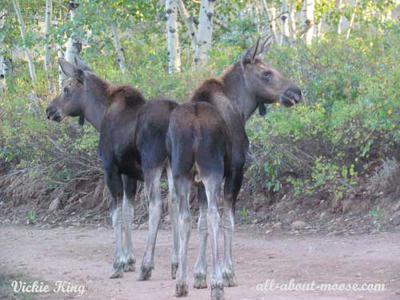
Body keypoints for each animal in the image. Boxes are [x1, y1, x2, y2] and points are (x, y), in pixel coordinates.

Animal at [45, 58, 180, 278]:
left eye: (66, 88)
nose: (49, 110)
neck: (98, 117)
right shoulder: (129, 173)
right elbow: (128, 212)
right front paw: (129, 260)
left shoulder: (110, 169)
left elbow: (115, 215)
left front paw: (118, 263)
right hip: (173, 166)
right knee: (175, 202)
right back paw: (176, 264)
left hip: (152, 164)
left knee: (156, 205)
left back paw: (147, 266)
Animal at [167, 38, 302, 300]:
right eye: (266, 73)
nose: (296, 92)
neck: (242, 108)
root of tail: (193, 125)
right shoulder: (235, 171)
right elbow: (227, 220)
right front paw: (227, 273)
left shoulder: (198, 181)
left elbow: (200, 224)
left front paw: (199, 276)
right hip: (212, 172)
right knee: (214, 215)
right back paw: (218, 283)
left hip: (181, 173)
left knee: (184, 217)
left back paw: (180, 282)